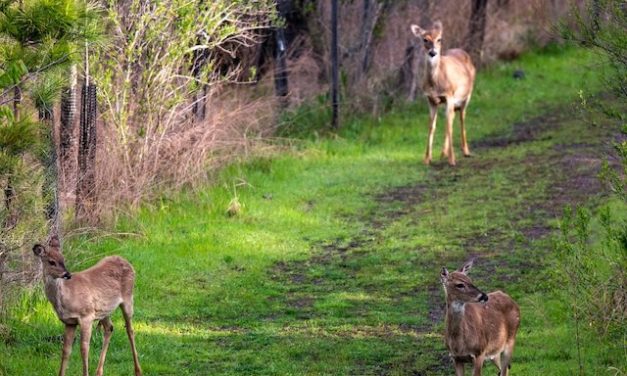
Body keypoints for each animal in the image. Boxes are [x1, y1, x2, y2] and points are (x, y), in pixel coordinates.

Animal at [34, 238, 144, 376]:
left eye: (63, 258)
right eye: (51, 262)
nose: (67, 274)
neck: (65, 298)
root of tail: (127, 263)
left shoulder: (86, 316)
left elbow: (84, 349)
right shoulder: (69, 322)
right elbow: (66, 350)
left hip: (128, 298)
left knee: (130, 329)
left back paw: (138, 371)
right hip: (104, 310)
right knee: (109, 328)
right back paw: (99, 371)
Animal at [410, 20, 478, 166]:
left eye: (439, 39)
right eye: (425, 39)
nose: (433, 52)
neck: (435, 84)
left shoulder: (449, 95)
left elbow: (448, 126)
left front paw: (452, 160)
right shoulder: (431, 100)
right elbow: (431, 127)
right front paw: (427, 159)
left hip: (466, 96)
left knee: (460, 118)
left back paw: (465, 151)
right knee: (452, 117)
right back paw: (443, 153)